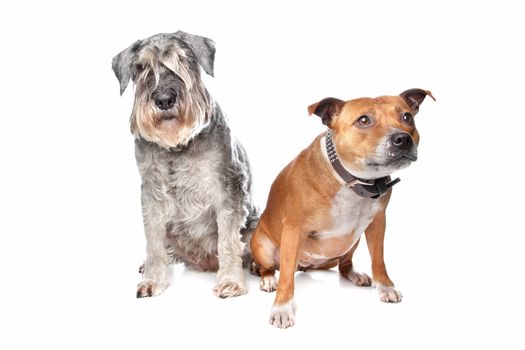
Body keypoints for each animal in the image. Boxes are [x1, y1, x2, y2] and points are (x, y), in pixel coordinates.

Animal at [111, 31, 256, 298]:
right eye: (141, 67)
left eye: (183, 60)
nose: (164, 100)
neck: (177, 147)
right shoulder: (151, 193)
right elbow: (153, 241)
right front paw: (152, 279)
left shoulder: (229, 188)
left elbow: (229, 239)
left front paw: (231, 281)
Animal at [250, 88, 434, 328]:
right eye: (364, 120)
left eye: (406, 117)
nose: (402, 139)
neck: (354, 182)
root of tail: (307, 266)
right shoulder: (293, 230)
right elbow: (287, 276)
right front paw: (282, 308)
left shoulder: (377, 223)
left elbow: (379, 258)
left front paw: (385, 286)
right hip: (261, 244)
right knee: (271, 267)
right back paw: (268, 279)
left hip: (351, 242)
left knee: (344, 265)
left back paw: (355, 275)